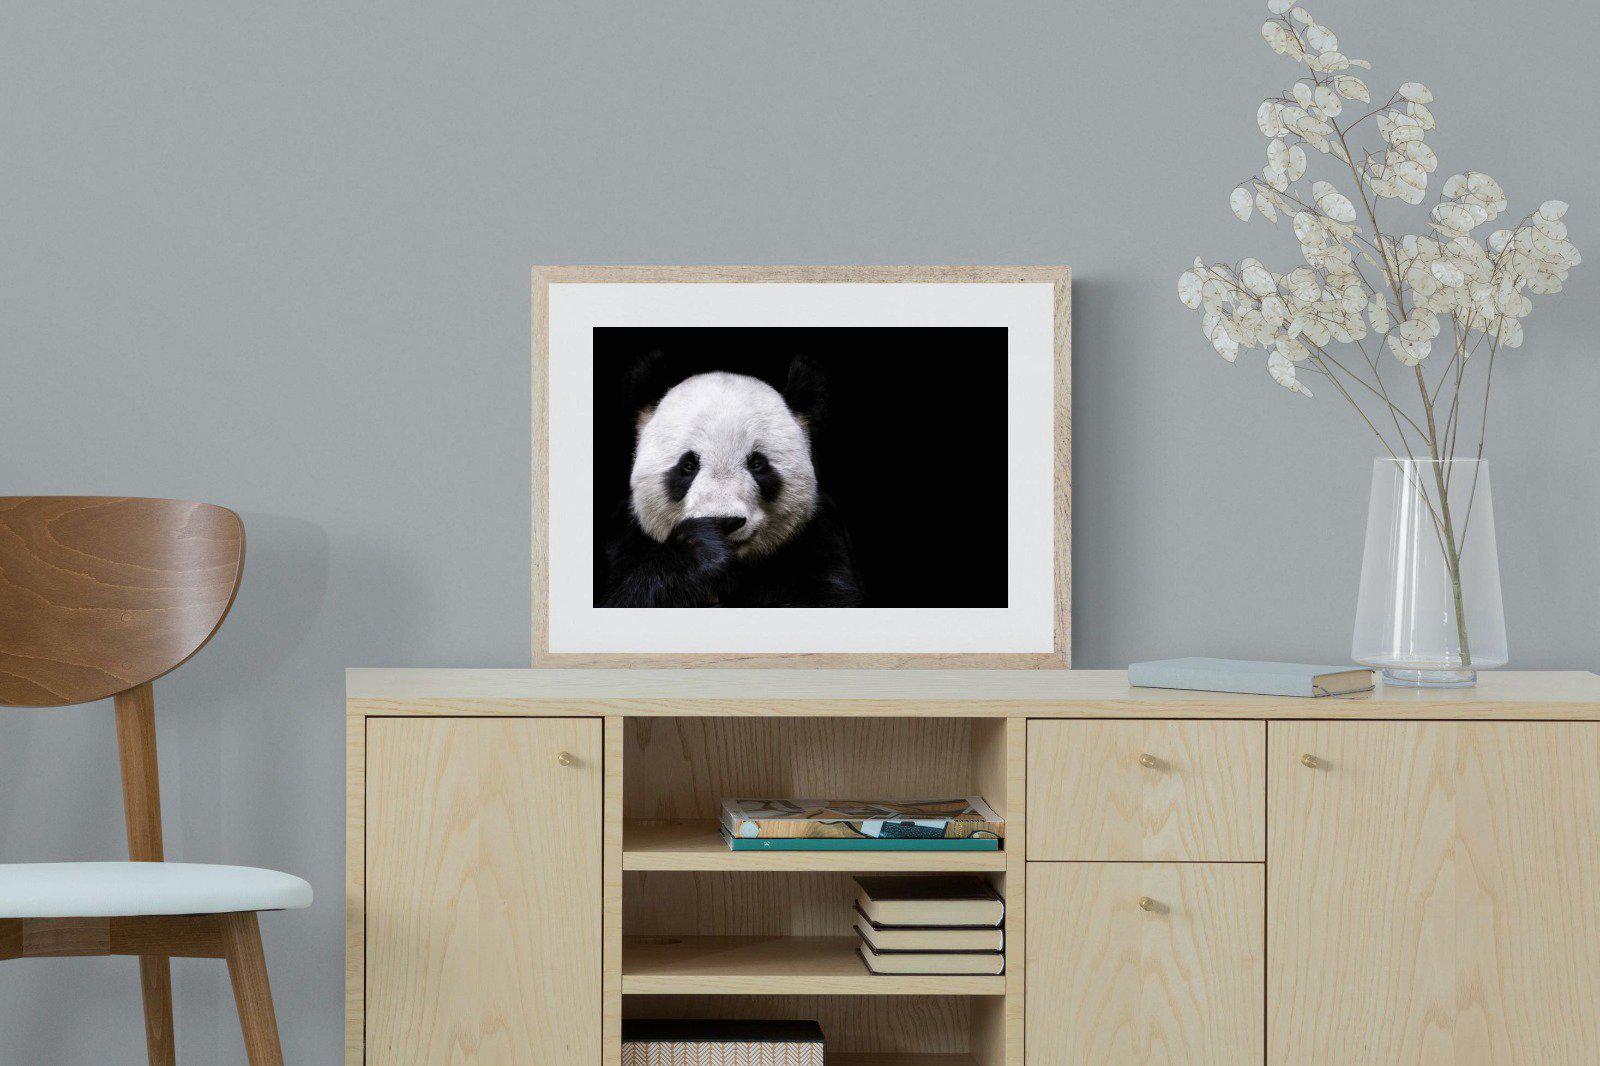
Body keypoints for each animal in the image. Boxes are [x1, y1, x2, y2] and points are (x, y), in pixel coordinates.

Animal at [600, 354, 864, 608]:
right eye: (688, 465)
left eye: (757, 464)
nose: (724, 521)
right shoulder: (626, 543)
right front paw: (700, 548)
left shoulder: (819, 540)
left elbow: (828, 597)